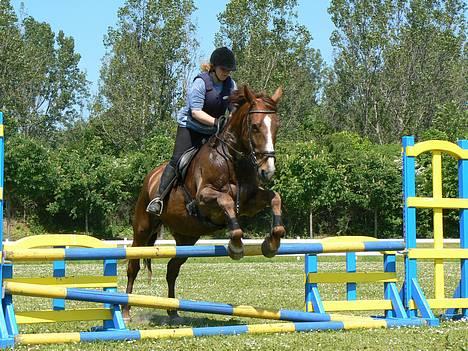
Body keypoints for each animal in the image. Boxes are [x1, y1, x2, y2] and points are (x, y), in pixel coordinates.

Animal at [123, 85, 286, 322]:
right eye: (255, 126)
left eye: (276, 126)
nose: (268, 170)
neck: (231, 160)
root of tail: (151, 176)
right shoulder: (203, 199)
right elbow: (226, 201)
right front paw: (236, 245)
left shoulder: (249, 202)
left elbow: (275, 197)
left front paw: (272, 242)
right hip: (143, 228)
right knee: (133, 265)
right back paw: (125, 312)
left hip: (187, 237)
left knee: (172, 269)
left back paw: (173, 312)